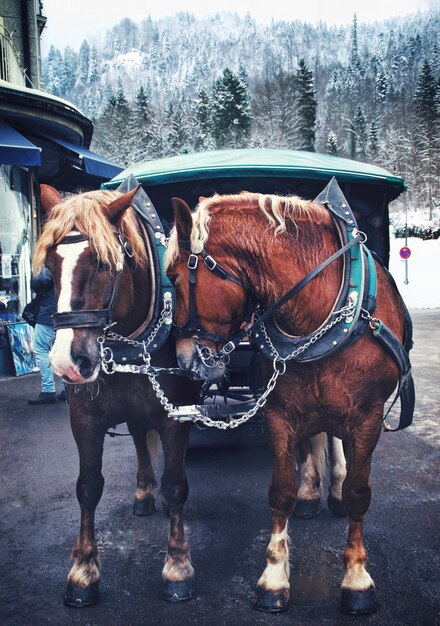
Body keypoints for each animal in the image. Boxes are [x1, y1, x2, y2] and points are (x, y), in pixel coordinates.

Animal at [33, 184, 199, 604]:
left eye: (104, 263)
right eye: (51, 267)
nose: (66, 362)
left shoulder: (177, 417)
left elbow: (176, 485)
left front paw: (177, 565)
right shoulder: (84, 420)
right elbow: (88, 488)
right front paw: (83, 570)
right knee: (139, 435)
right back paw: (143, 493)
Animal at [167, 188, 410, 612]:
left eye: (177, 278)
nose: (183, 361)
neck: (320, 310)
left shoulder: (367, 416)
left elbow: (359, 493)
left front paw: (357, 579)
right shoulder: (279, 413)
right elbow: (280, 491)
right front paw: (274, 577)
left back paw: (334, 490)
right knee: (313, 439)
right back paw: (311, 492)